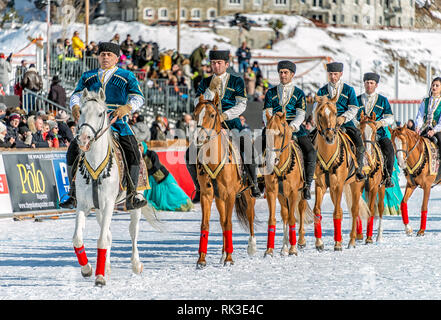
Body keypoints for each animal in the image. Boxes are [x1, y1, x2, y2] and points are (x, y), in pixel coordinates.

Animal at [71, 89, 156, 286]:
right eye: (81, 111)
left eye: (101, 113)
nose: (83, 139)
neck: (95, 163)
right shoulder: (84, 205)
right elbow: (78, 238)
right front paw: (88, 269)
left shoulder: (109, 204)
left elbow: (102, 239)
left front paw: (100, 278)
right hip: (99, 210)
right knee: (108, 233)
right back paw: (107, 266)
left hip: (134, 203)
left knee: (133, 232)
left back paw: (136, 264)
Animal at [193, 94, 258, 268]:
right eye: (195, 114)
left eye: (212, 115)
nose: (199, 138)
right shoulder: (207, 195)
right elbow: (206, 224)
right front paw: (201, 260)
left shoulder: (229, 195)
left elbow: (228, 224)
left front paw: (229, 259)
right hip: (219, 199)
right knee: (222, 221)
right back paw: (223, 254)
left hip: (248, 195)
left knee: (249, 217)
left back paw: (251, 247)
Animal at [262, 111, 312, 256]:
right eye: (266, 134)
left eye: (280, 134)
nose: (271, 160)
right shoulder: (272, 192)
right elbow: (273, 219)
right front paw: (269, 250)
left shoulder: (294, 193)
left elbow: (292, 218)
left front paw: (293, 249)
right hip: (282, 195)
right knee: (284, 214)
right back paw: (284, 246)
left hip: (301, 193)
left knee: (300, 211)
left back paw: (301, 241)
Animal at [312, 96, 370, 251]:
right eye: (320, 114)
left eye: (335, 112)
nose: (330, 137)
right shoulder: (320, 185)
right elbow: (317, 211)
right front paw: (319, 243)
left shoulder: (338, 185)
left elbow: (337, 212)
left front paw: (337, 244)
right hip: (334, 189)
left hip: (355, 185)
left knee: (354, 210)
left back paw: (352, 240)